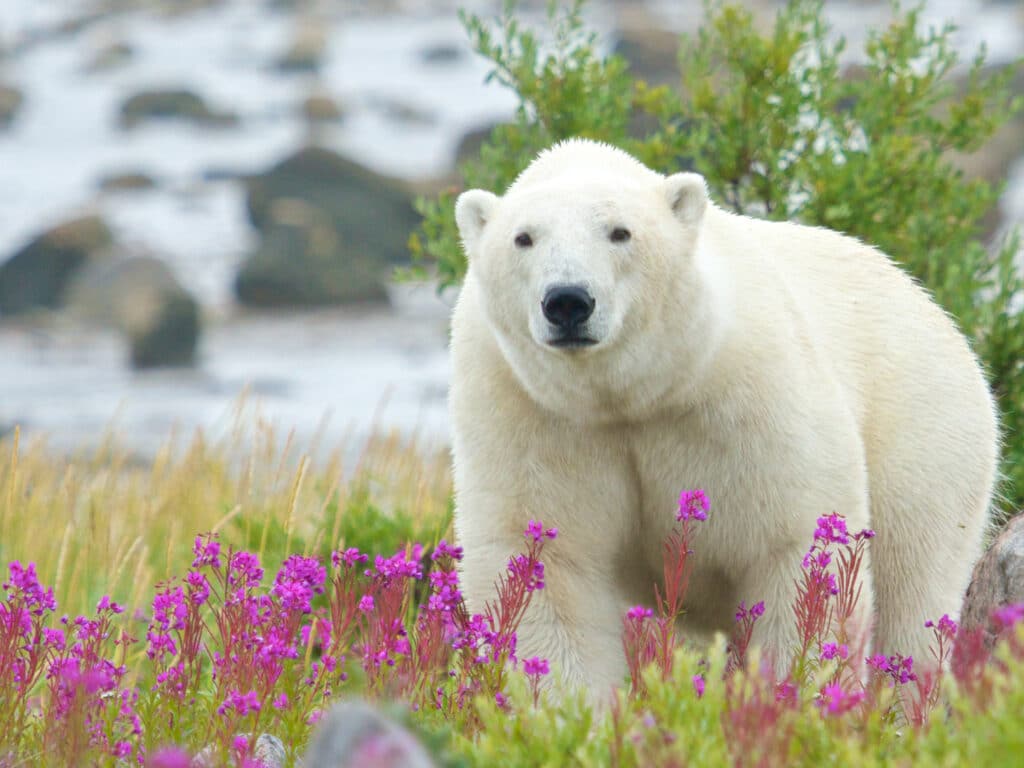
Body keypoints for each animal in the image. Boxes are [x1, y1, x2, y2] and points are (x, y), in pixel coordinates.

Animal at [449, 138, 999, 696]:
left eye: (620, 232)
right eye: (523, 238)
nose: (567, 300)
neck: (629, 395)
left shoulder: (746, 395)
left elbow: (790, 545)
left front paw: (796, 692)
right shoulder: (532, 414)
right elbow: (550, 565)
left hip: (923, 429)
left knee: (915, 584)